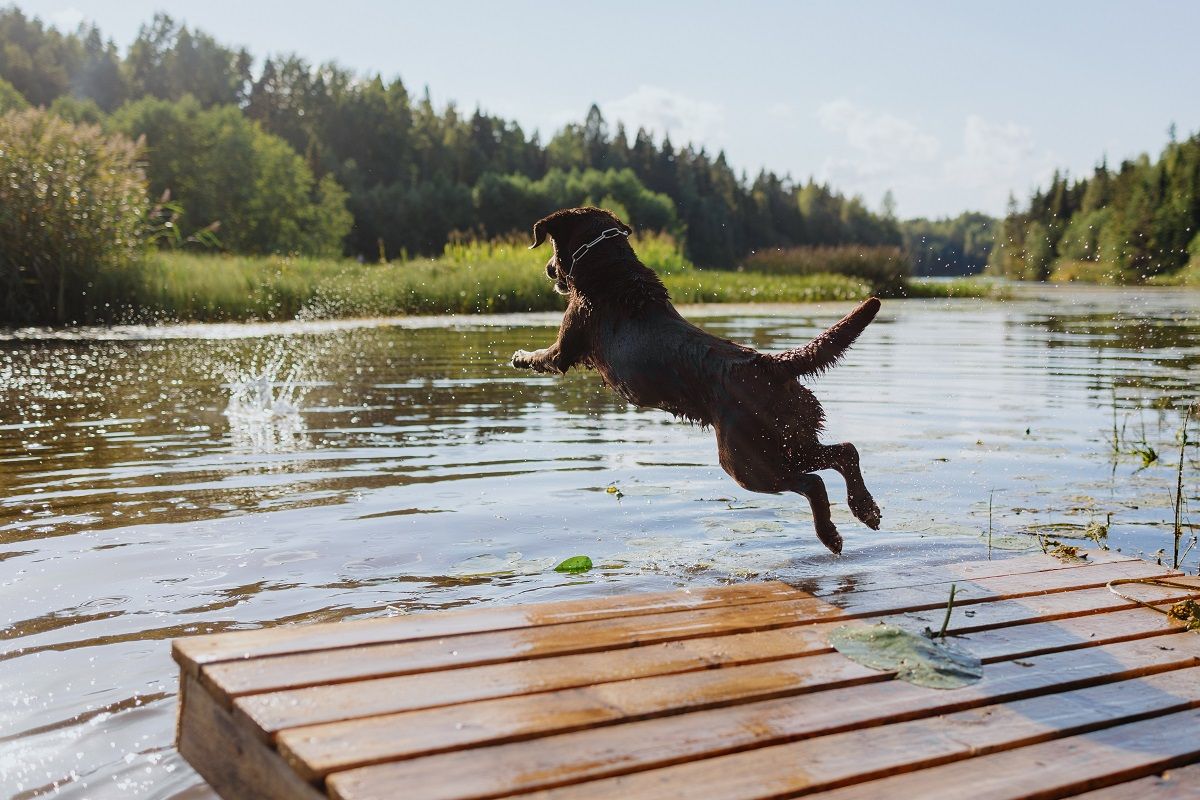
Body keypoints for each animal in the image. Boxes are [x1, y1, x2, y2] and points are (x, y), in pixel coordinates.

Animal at [508, 206, 883, 554]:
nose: (548, 269)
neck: (607, 265)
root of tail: (771, 363)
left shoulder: (567, 343)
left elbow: (544, 357)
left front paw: (519, 356)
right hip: (787, 437)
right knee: (845, 452)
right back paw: (866, 509)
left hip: (746, 459)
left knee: (813, 482)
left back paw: (831, 534)